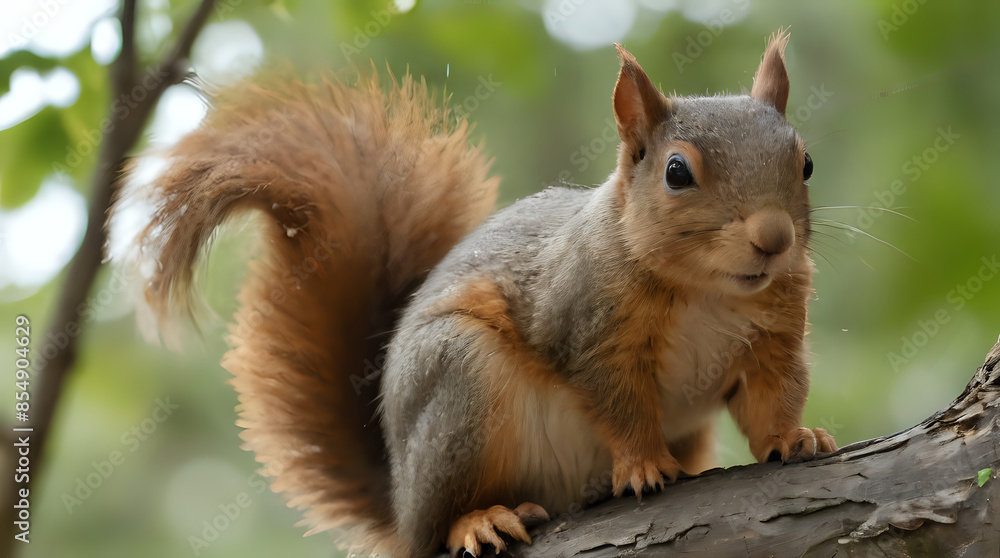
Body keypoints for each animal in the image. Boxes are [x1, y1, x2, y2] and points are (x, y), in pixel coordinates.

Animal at [110, 30, 837, 557]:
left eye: (805, 162)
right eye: (677, 172)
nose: (774, 238)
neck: (707, 291)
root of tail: (401, 498)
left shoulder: (774, 336)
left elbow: (772, 394)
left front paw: (794, 436)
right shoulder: (586, 328)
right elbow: (619, 402)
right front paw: (639, 465)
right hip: (458, 384)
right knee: (441, 524)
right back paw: (478, 521)